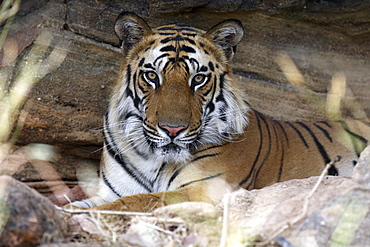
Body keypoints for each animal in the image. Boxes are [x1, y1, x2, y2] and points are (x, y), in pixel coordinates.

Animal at [70, 12, 370, 212]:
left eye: (198, 79)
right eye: (152, 76)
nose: (172, 130)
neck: (153, 161)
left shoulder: (202, 190)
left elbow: (135, 202)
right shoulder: (109, 191)